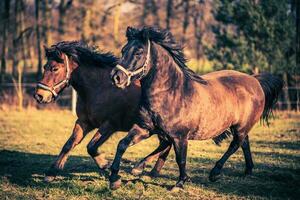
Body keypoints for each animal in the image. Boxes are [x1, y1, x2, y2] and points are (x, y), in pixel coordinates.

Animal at [34, 41, 168, 182]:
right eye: (44, 67)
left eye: (54, 69)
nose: (39, 95)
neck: (100, 87)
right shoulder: (84, 122)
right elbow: (69, 144)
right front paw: (51, 172)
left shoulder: (109, 125)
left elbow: (91, 146)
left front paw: (105, 165)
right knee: (166, 144)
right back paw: (151, 172)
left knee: (166, 144)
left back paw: (140, 168)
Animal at [109, 27, 282, 190]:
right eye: (123, 50)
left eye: (138, 53)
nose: (116, 77)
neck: (172, 92)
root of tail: (254, 80)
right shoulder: (145, 128)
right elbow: (122, 144)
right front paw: (114, 179)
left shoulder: (180, 136)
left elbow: (181, 159)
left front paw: (180, 183)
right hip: (238, 128)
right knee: (244, 143)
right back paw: (247, 170)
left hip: (240, 127)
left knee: (236, 144)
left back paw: (215, 173)